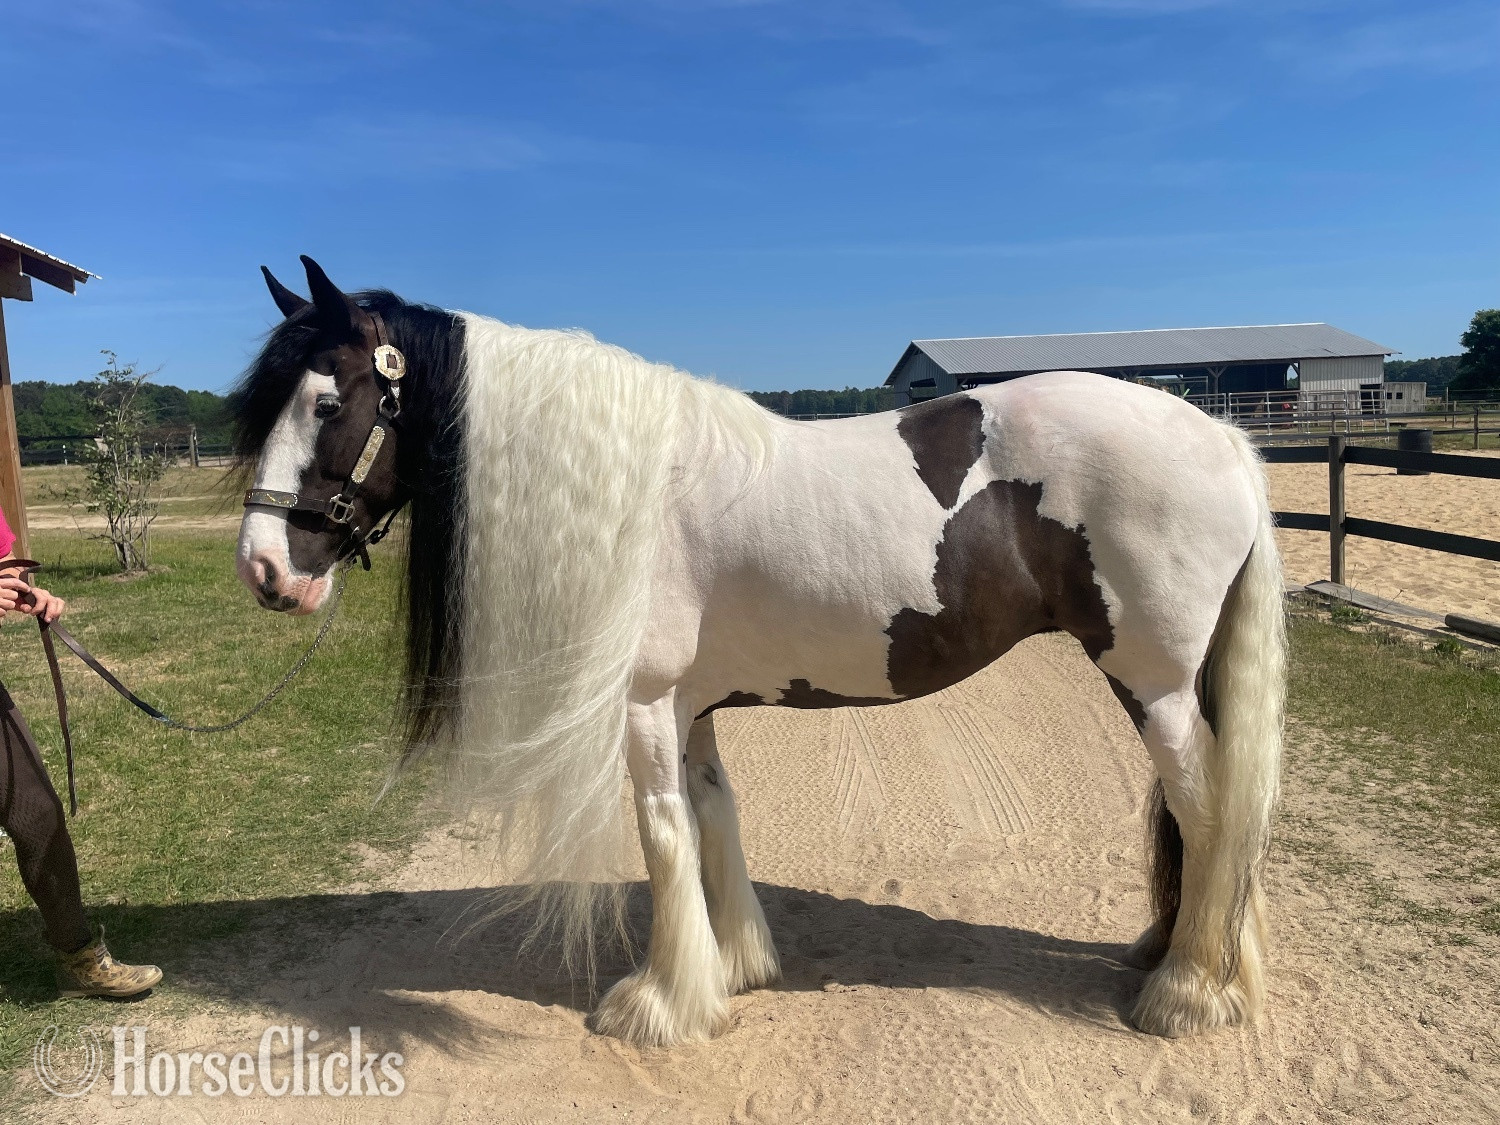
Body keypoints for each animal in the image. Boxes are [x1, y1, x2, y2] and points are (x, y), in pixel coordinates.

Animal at [233, 257, 1285, 1047]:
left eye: (327, 402)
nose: (264, 568)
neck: (638, 490)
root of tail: (1223, 435)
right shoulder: (688, 707)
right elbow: (711, 819)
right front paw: (732, 967)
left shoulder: (643, 705)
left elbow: (661, 832)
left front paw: (658, 1004)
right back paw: (1189, 958)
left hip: (1152, 683)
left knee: (1208, 807)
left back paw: (1188, 990)